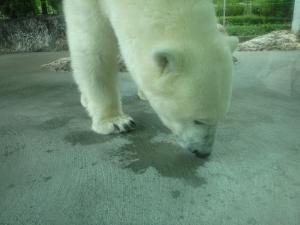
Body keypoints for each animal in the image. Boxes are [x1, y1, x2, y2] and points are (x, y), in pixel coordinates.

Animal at [63, 0, 237, 157]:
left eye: (221, 118)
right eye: (198, 120)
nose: (203, 152)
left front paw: (144, 92)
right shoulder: (85, 5)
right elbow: (94, 48)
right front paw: (116, 122)